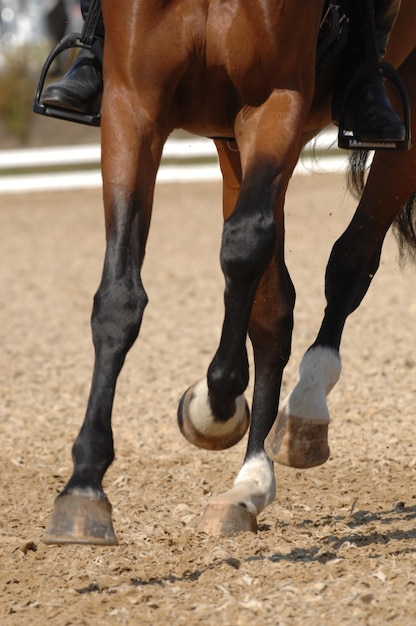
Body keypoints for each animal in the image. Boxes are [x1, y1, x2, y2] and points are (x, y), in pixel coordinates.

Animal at [41, 1, 416, 540]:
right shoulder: (133, 102)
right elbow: (119, 296)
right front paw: (83, 486)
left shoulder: (274, 101)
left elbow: (244, 246)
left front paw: (215, 406)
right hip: (235, 143)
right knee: (275, 307)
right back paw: (249, 484)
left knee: (349, 262)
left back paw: (305, 411)